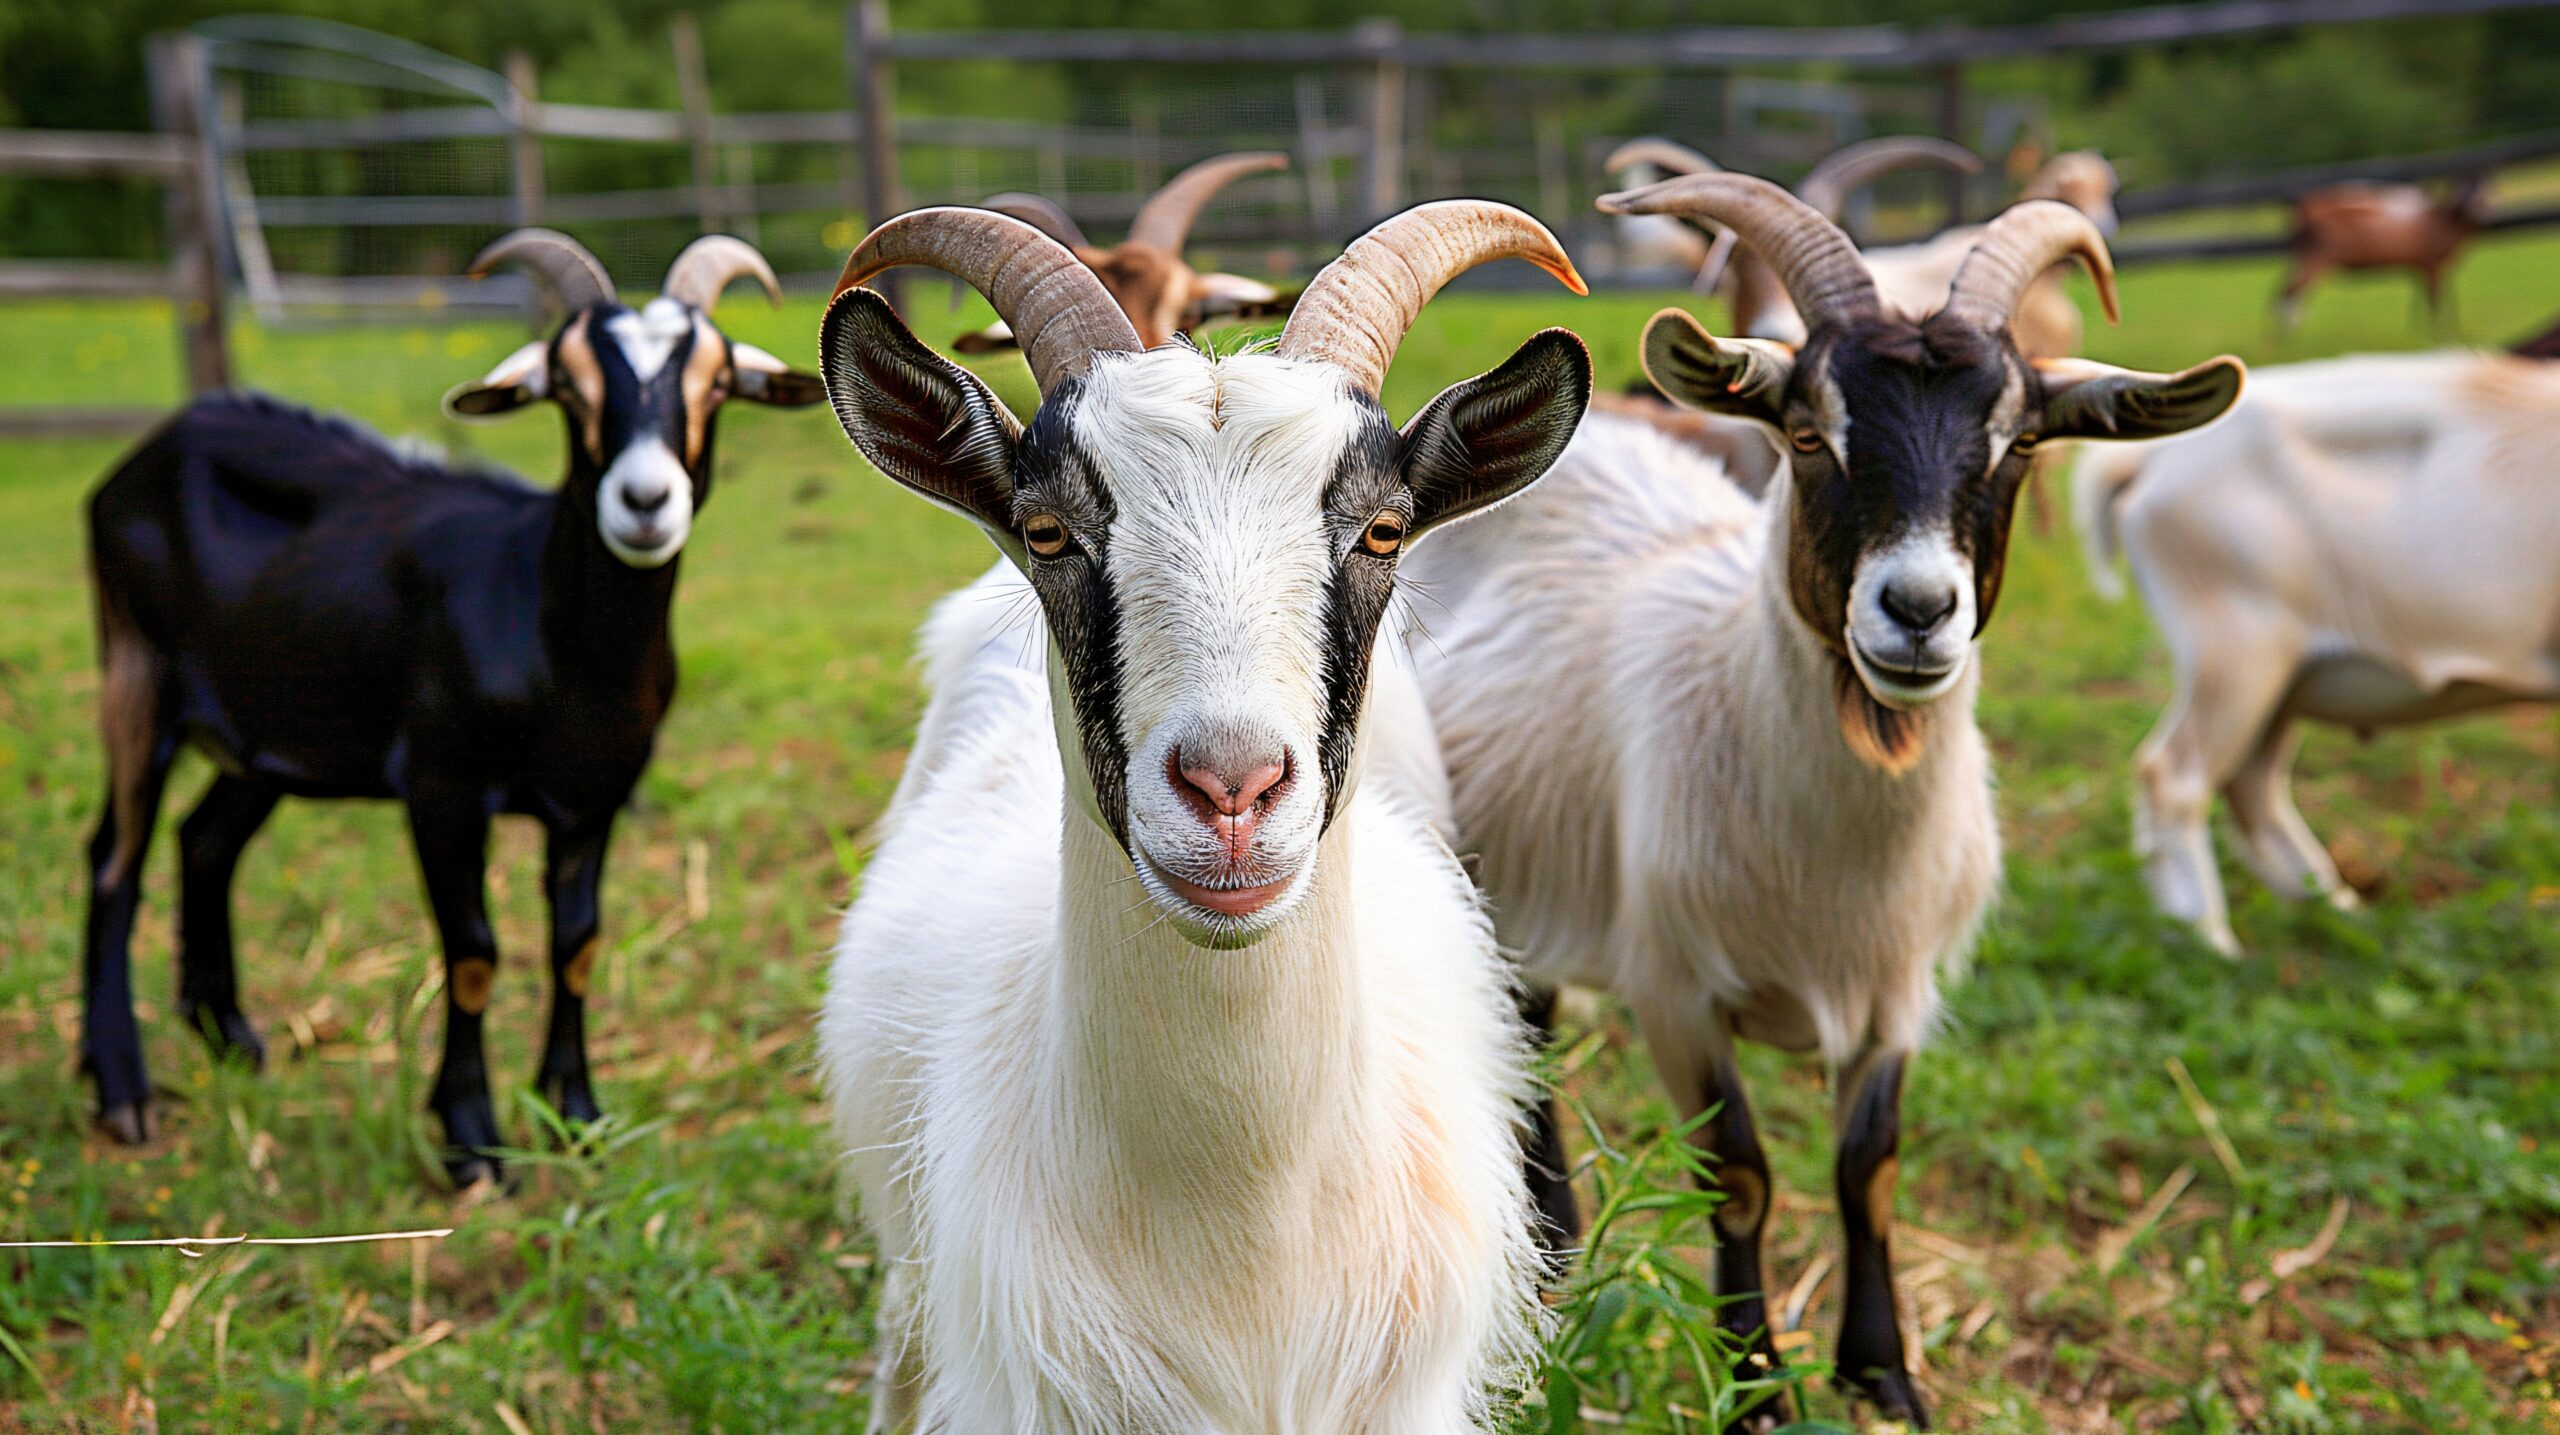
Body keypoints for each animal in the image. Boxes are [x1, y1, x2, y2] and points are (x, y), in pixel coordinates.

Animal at [80, 231, 823, 1184]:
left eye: (719, 380)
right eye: (568, 383)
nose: (645, 502)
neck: (558, 648)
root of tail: (146, 452)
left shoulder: (595, 798)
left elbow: (576, 947)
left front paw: (574, 1115)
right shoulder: (443, 788)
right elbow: (473, 953)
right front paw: (471, 1136)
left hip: (282, 721)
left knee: (204, 839)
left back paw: (229, 1037)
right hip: (135, 670)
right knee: (114, 861)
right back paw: (122, 1091)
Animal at [1405, 175, 2242, 1430]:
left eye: (2020, 442)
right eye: (1807, 432)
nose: (1917, 610)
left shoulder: (1900, 995)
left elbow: (1868, 1170)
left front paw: (1881, 1372)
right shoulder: (1676, 990)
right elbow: (1740, 1178)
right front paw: (1752, 1381)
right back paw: (1550, 1239)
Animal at [2072, 348, 2558, 955]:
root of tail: (2149, 456)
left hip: (2285, 678)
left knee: (2252, 783)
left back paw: (2336, 910)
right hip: (2237, 649)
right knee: (2174, 775)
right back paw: (2211, 940)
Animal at [2278, 176, 2490, 333]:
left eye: (2482, 187)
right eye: (2462, 187)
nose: (2471, 205)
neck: (2445, 222)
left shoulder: (2425, 266)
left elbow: (2434, 298)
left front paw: (2421, 329)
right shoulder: (2431, 264)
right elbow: (2435, 301)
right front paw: (2438, 333)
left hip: (2304, 256)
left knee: (2286, 291)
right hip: (2319, 259)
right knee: (2289, 292)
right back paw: (2287, 336)